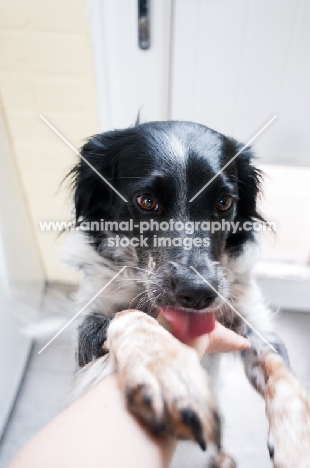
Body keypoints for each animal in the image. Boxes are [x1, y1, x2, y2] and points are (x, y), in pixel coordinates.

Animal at [65, 121, 310, 468]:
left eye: (224, 202)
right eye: (146, 201)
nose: (197, 293)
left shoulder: (253, 324)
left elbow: (281, 372)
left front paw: (297, 443)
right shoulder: (87, 337)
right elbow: (130, 315)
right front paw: (168, 373)